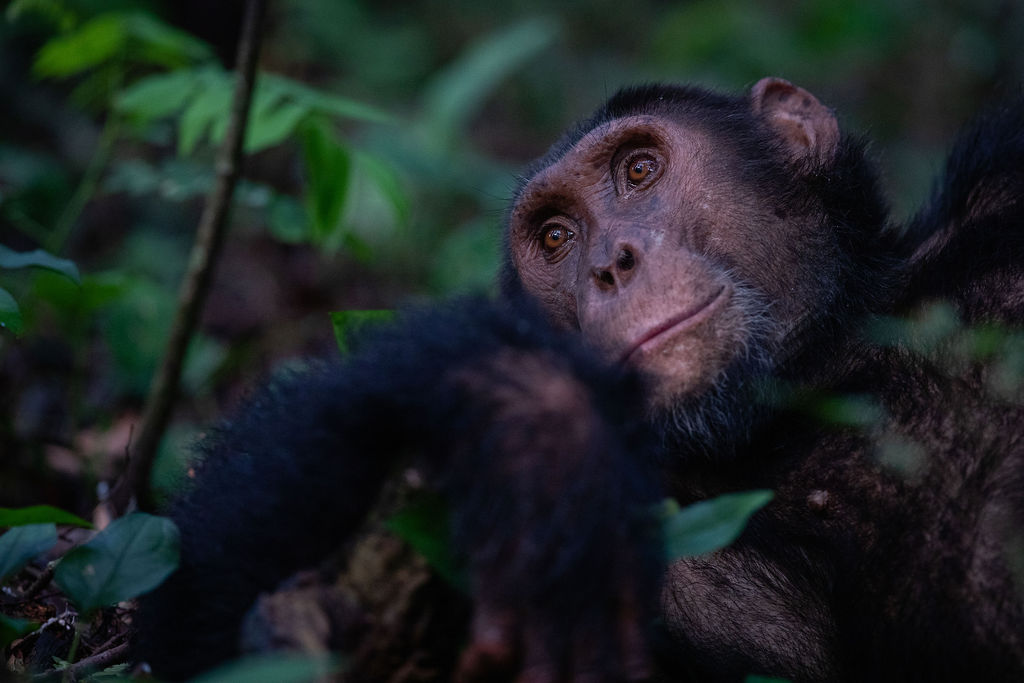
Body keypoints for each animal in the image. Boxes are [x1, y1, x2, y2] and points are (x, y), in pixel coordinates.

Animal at [134, 78, 1024, 682]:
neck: (821, 371)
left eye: (640, 170)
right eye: (557, 236)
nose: (609, 262)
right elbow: (212, 603)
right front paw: (538, 422)